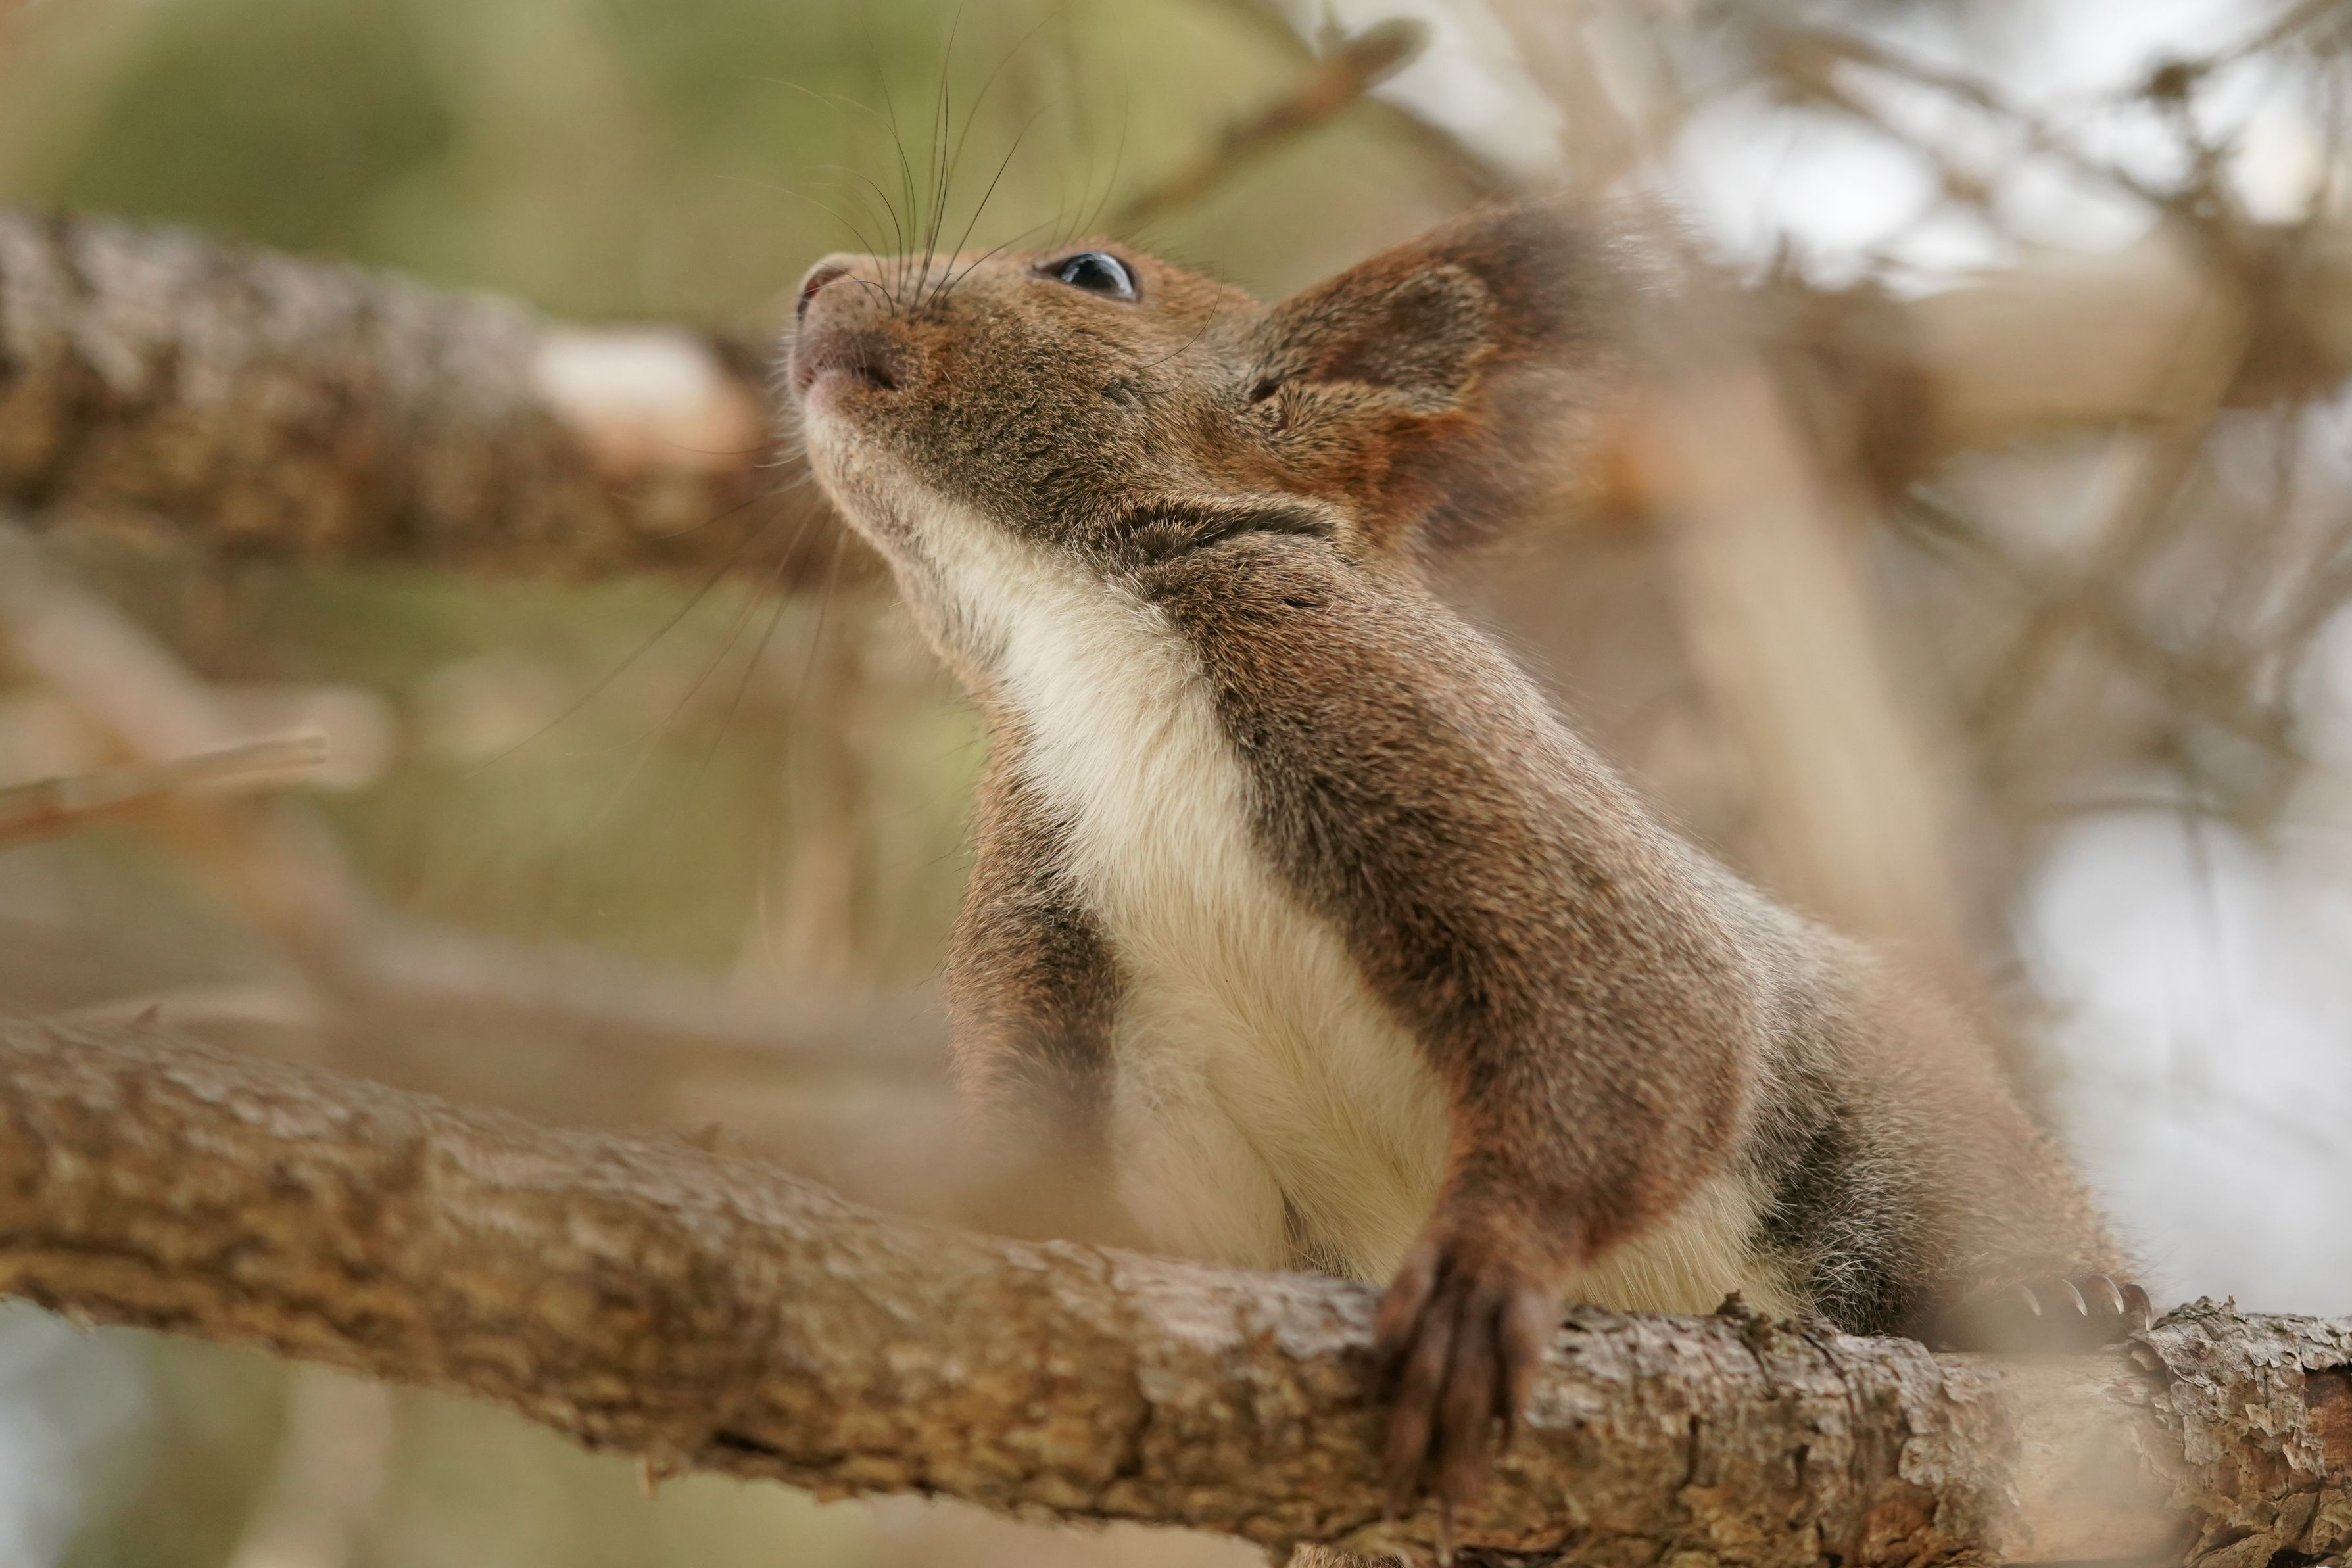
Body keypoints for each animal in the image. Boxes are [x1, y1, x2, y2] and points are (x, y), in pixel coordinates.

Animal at [782, 200, 2148, 1535]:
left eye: (1092, 274)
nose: (814, 281)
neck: (1070, 621)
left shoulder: (1416, 727)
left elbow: (1644, 1024)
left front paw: (1486, 1271)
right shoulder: (1049, 922)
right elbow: (1120, 1197)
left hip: (1917, 1130)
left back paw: (2072, 1296)